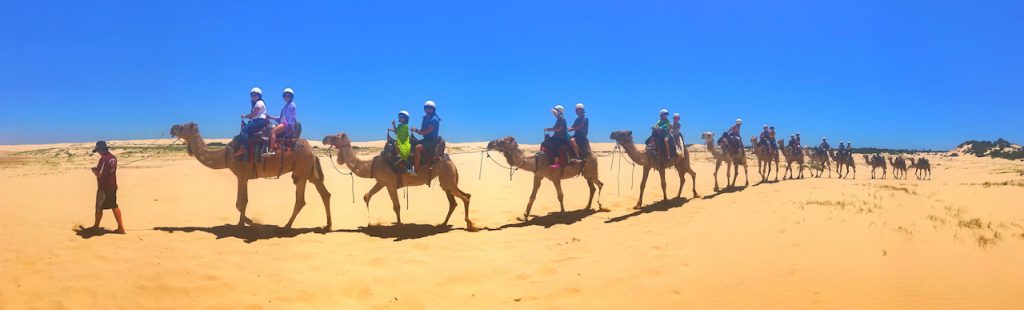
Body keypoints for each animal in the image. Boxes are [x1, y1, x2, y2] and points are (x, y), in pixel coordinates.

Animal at [168, 123, 331, 231]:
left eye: (182, 127)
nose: (172, 128)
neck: (227, 155)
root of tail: (312, 150)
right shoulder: (244, 177)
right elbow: (241, 202)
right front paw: (245, 222)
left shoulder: (241, 176)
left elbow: (241, 202)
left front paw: (245, 223)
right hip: (307, 172)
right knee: (321, 195)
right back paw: (325, 226)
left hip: (302, 169)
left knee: (304, 199)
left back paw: (288, 226)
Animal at [321, 131, 477, 232]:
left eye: (335, 136)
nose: (324, 138)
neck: (372, 165)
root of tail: (450, 161)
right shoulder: (381, 182)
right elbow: (366, 196)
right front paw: (370, 222)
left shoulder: (390, 184)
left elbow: (396, 206)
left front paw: (399, 225)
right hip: (446, 181)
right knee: (455, 201)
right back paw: (443, 224)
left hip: (447, 176)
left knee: (465, 197)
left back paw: (470, 225)